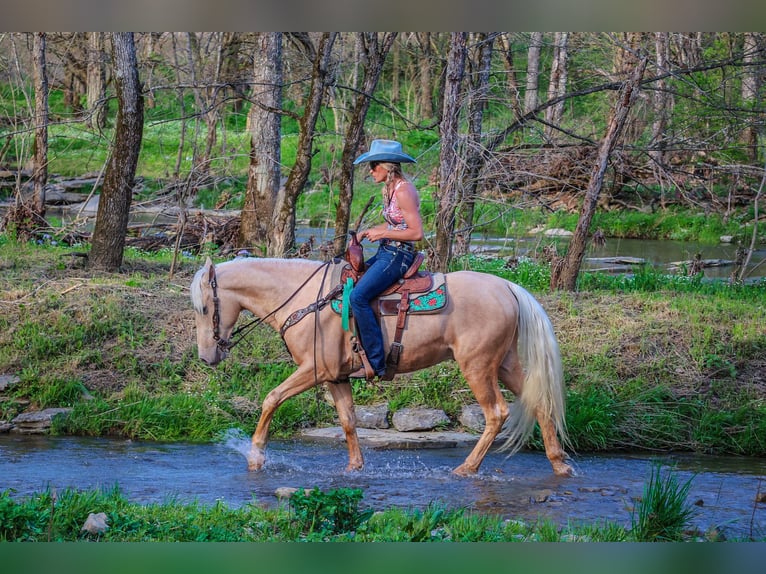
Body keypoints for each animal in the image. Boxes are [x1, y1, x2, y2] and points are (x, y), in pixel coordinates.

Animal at [192, 255, 576, 476]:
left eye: (204, 308)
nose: (207, 356)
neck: (307, 301)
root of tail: (509, 288)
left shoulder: (312, 371)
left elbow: (271, 399)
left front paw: (256, 457)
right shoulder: (336, 377)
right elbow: (348, 420)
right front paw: (354, 467)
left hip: (478, 366)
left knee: (496, 413)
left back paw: (466, 468)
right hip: (505, 364)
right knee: (539, 402)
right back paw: (559, 465)